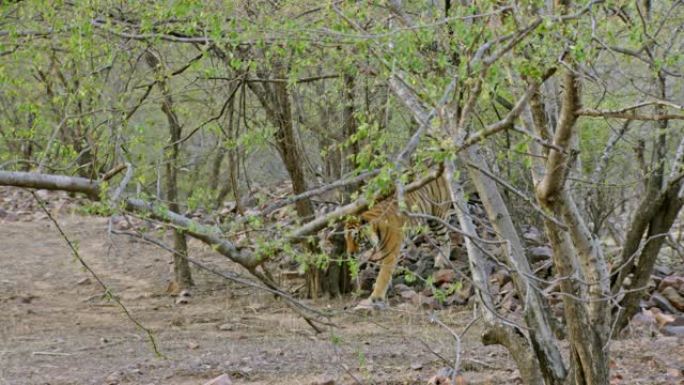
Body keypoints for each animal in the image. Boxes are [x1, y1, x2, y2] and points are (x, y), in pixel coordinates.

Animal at [342, 170, 454, 310]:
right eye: (346, 238)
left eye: (356, 237)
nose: (350, 254)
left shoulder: (390, 253)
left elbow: (383, 275)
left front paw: (376, 297)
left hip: (437, 217)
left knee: (446, 239)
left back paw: (441, 261)